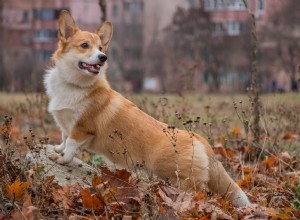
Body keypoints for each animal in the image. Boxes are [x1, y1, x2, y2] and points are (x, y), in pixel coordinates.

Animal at [44, 9, 251, 206]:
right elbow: (64, 139)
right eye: (85, 45)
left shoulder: (81, 129)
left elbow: (70, 146)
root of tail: (201, 140)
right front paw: (57, 149)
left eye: (101, 48)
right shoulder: (67, 126)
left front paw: (61, 159)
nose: (103, 57)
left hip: (181, 181)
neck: (75, 85)